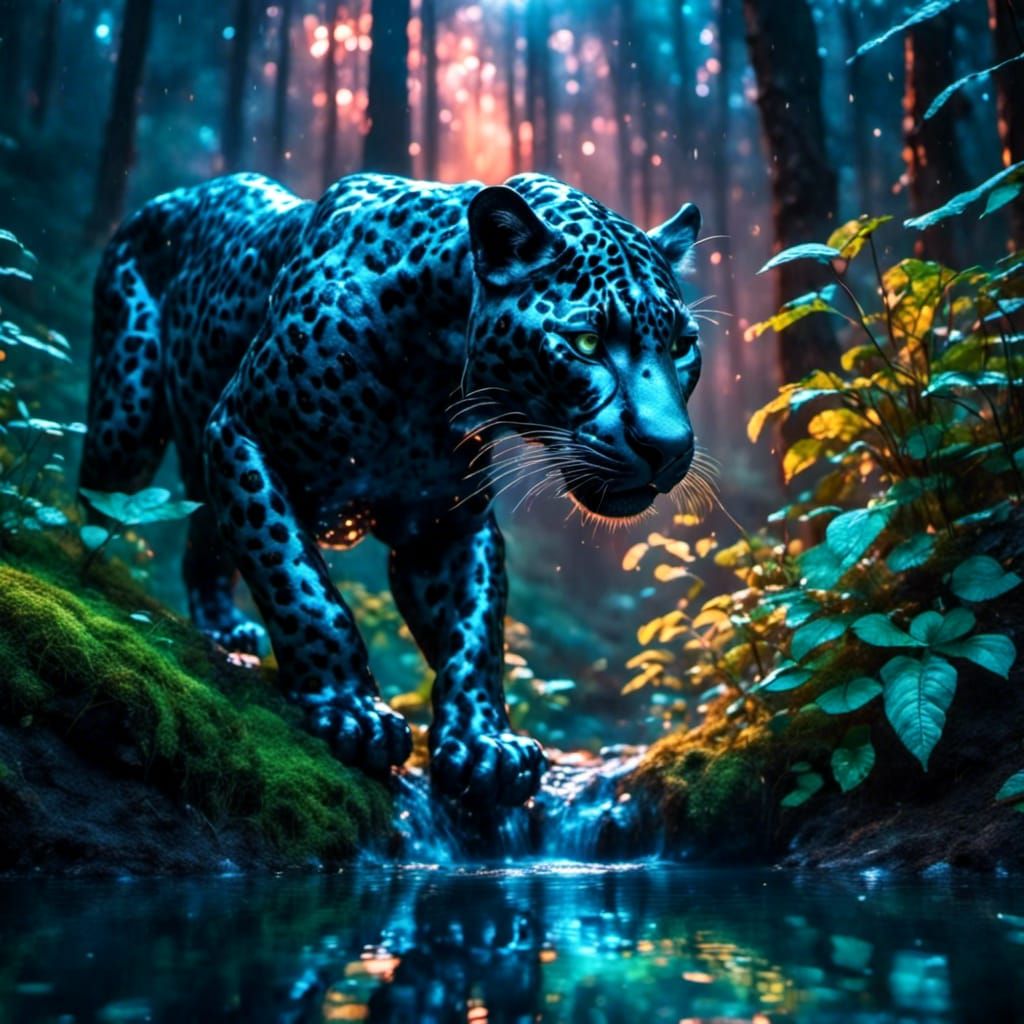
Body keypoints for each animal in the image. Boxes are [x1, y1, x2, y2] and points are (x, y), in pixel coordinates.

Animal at [80, 170, 703, 808]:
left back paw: (223, 627)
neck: (435, 367)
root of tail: (168, 200)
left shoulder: (447, 525)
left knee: (202, 534)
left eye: (682, 345)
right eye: (586, 343)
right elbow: (301, 588)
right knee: (96, 504)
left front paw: (484, 744)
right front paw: (351, 711)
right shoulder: (239, 432)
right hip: (126, 421)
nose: (669, 445)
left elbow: (475, 632)